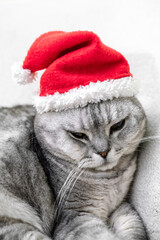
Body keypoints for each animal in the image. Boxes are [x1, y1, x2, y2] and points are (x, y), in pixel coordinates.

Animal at [0, 96, 148, 239]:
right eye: (78, 135)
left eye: (118, 125)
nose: (103, 152)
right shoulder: (74, 217)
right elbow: (101, 235)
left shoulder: (121, 206)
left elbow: (133, 224)